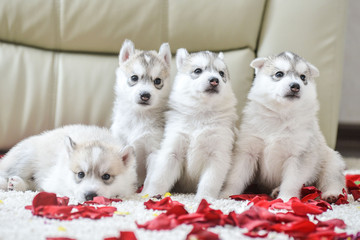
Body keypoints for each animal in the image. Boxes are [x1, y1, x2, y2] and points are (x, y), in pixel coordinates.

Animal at [0, 124, 137, 202]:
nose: (90, 196)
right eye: (81, 174)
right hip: (24, 159)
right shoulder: (55, 181)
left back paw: (16, 184)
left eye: (106, 176)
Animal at [109, 39, 172, 186]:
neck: (139, 115)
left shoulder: (154, 150)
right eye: (134, 78)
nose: (145, 95)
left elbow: (151, 177)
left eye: (157, 81)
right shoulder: (121, 141)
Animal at [143, 48, 239, 199]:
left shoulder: (218, 154)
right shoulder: (172, 151)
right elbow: (160, 177)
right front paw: (152, 194)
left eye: (221, 73)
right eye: (198, 70)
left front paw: (204, 198)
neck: (201, 113)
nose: (214, 80)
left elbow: (209, 182)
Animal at [222, 51, 346, 202]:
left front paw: (286, 199)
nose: (295, 86)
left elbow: (291, 181)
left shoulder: (298, 154)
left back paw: (332, 194)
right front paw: (226, 195)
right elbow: (235, 177)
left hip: (331, 162)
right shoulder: (247, 151)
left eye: (303, 77)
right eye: (279, 74)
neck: (280, 115)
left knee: (333, 180)